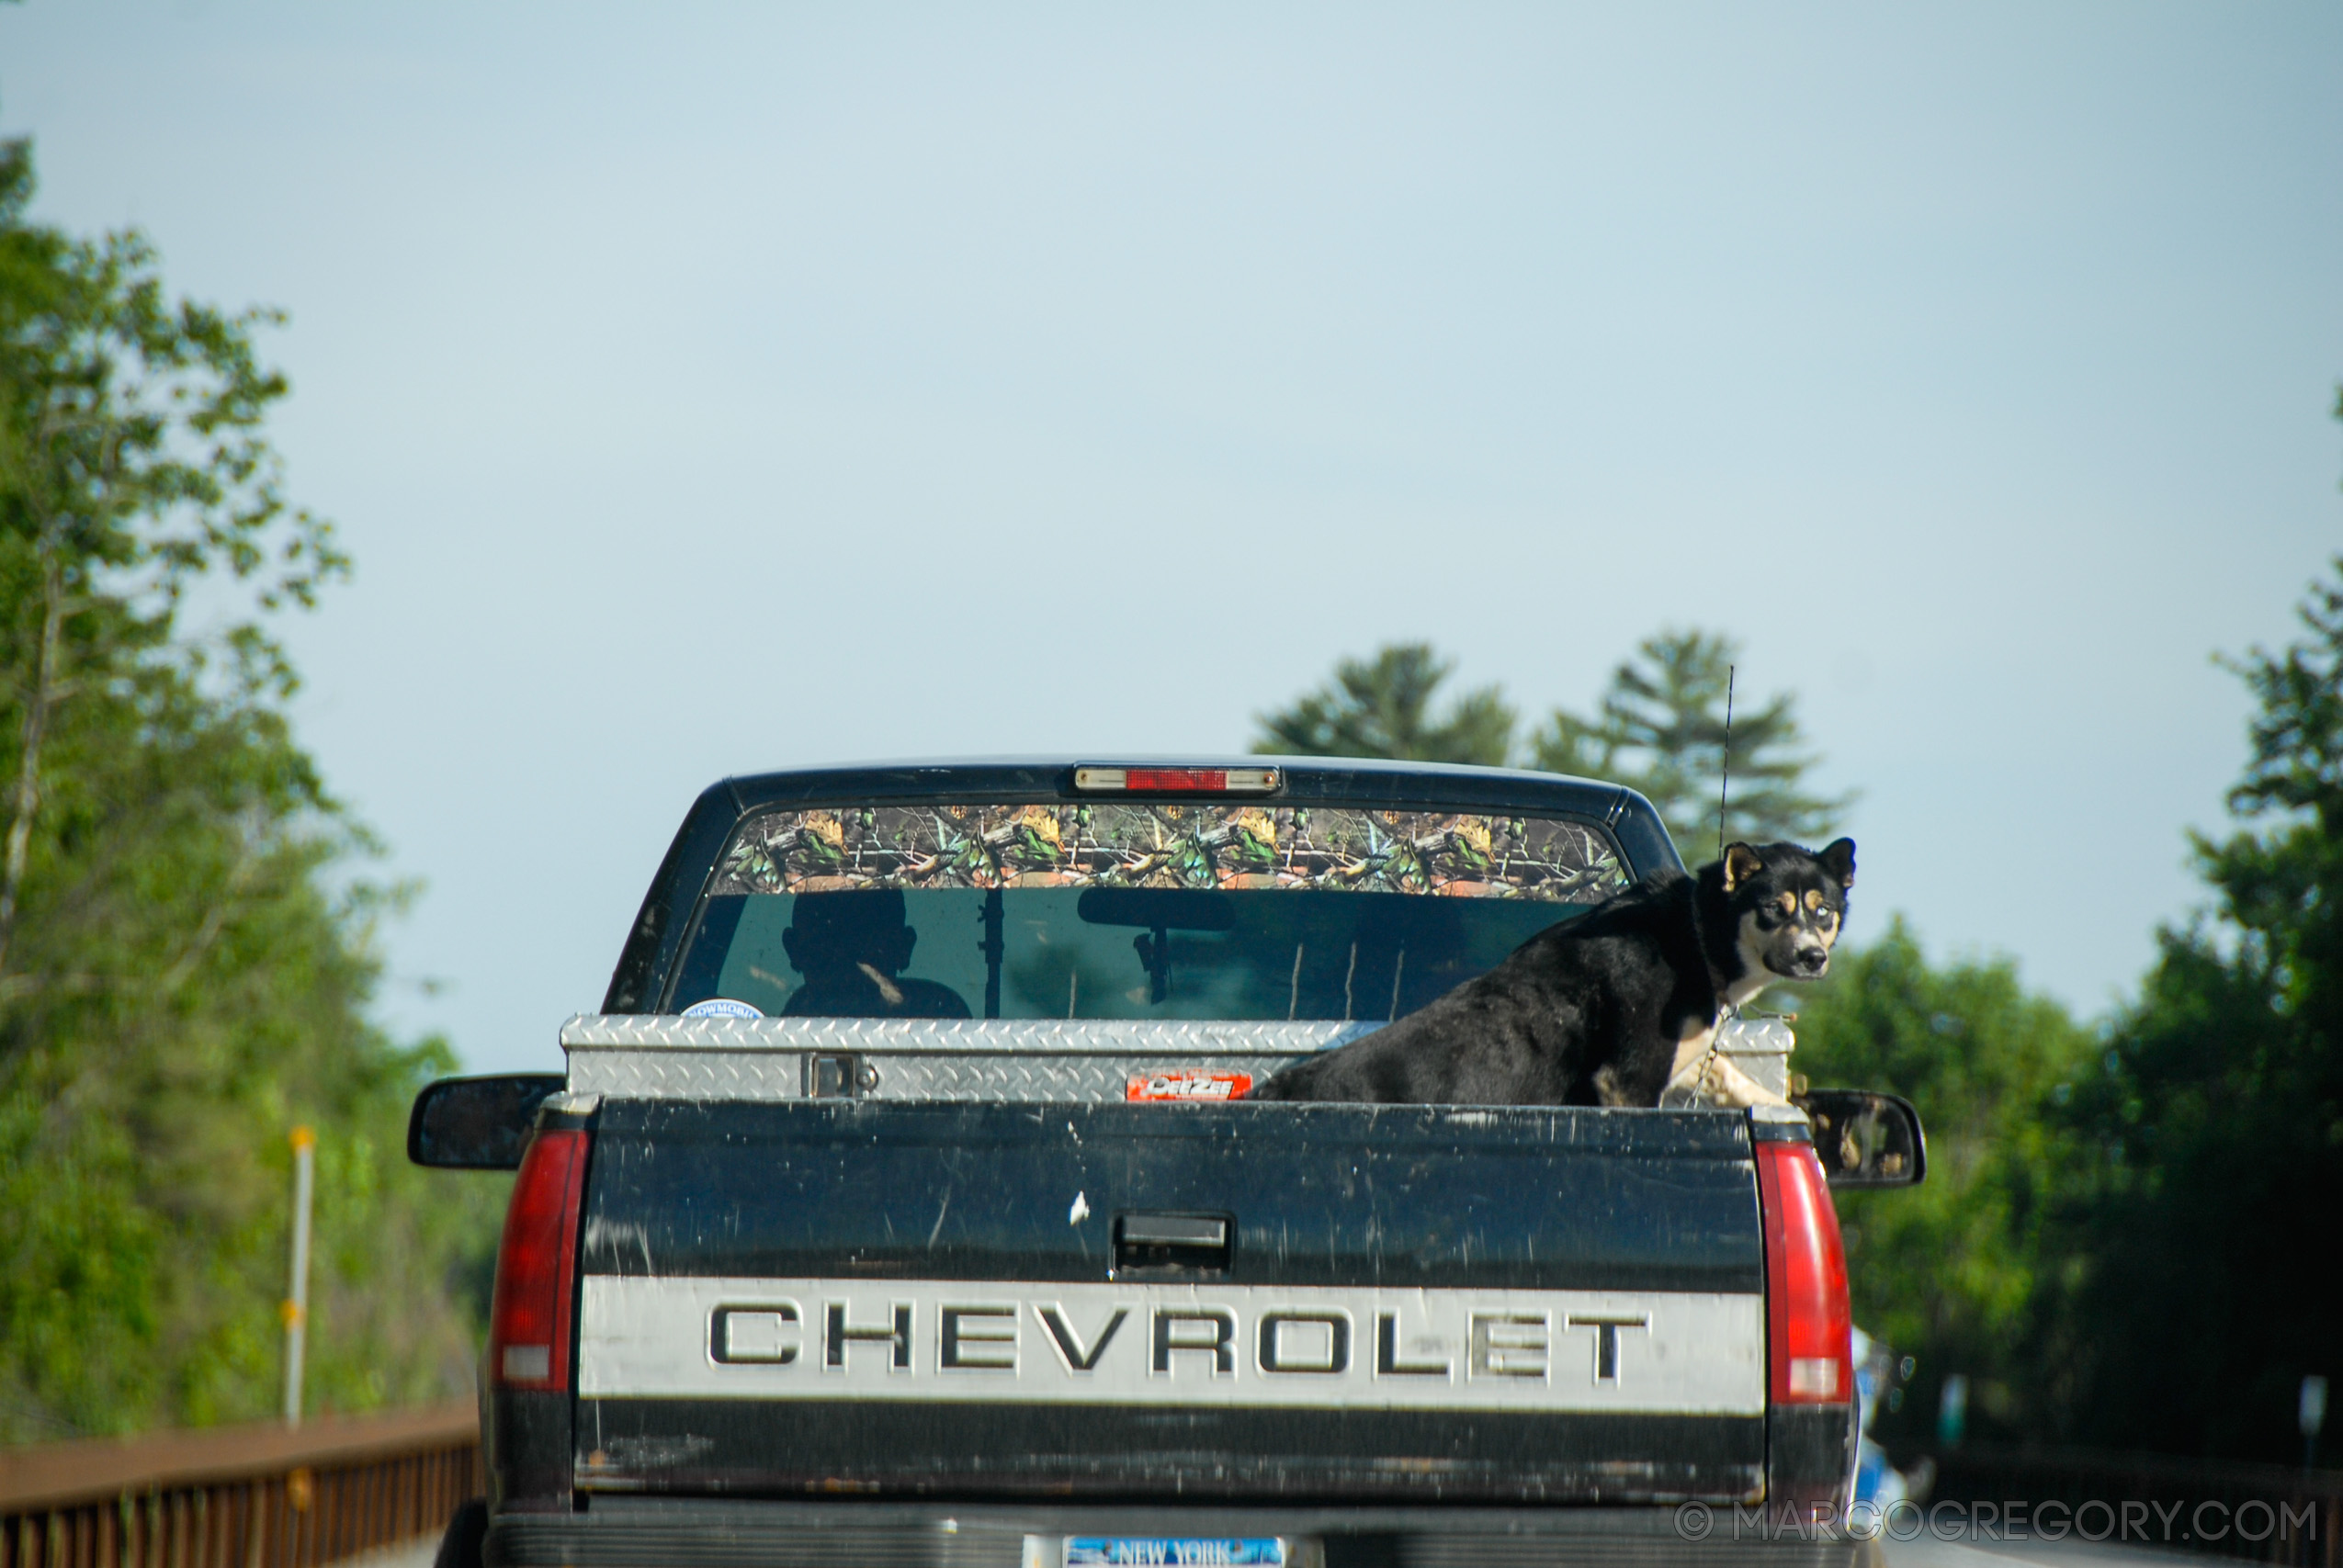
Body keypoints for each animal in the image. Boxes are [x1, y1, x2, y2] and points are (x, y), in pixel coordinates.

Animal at [1255, 839, 1855, 1106]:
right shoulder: (1630, 1080)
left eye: (1822, 911)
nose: (1813, 957)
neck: (1697, 930)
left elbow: (1730, 1075)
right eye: (1774, 908)